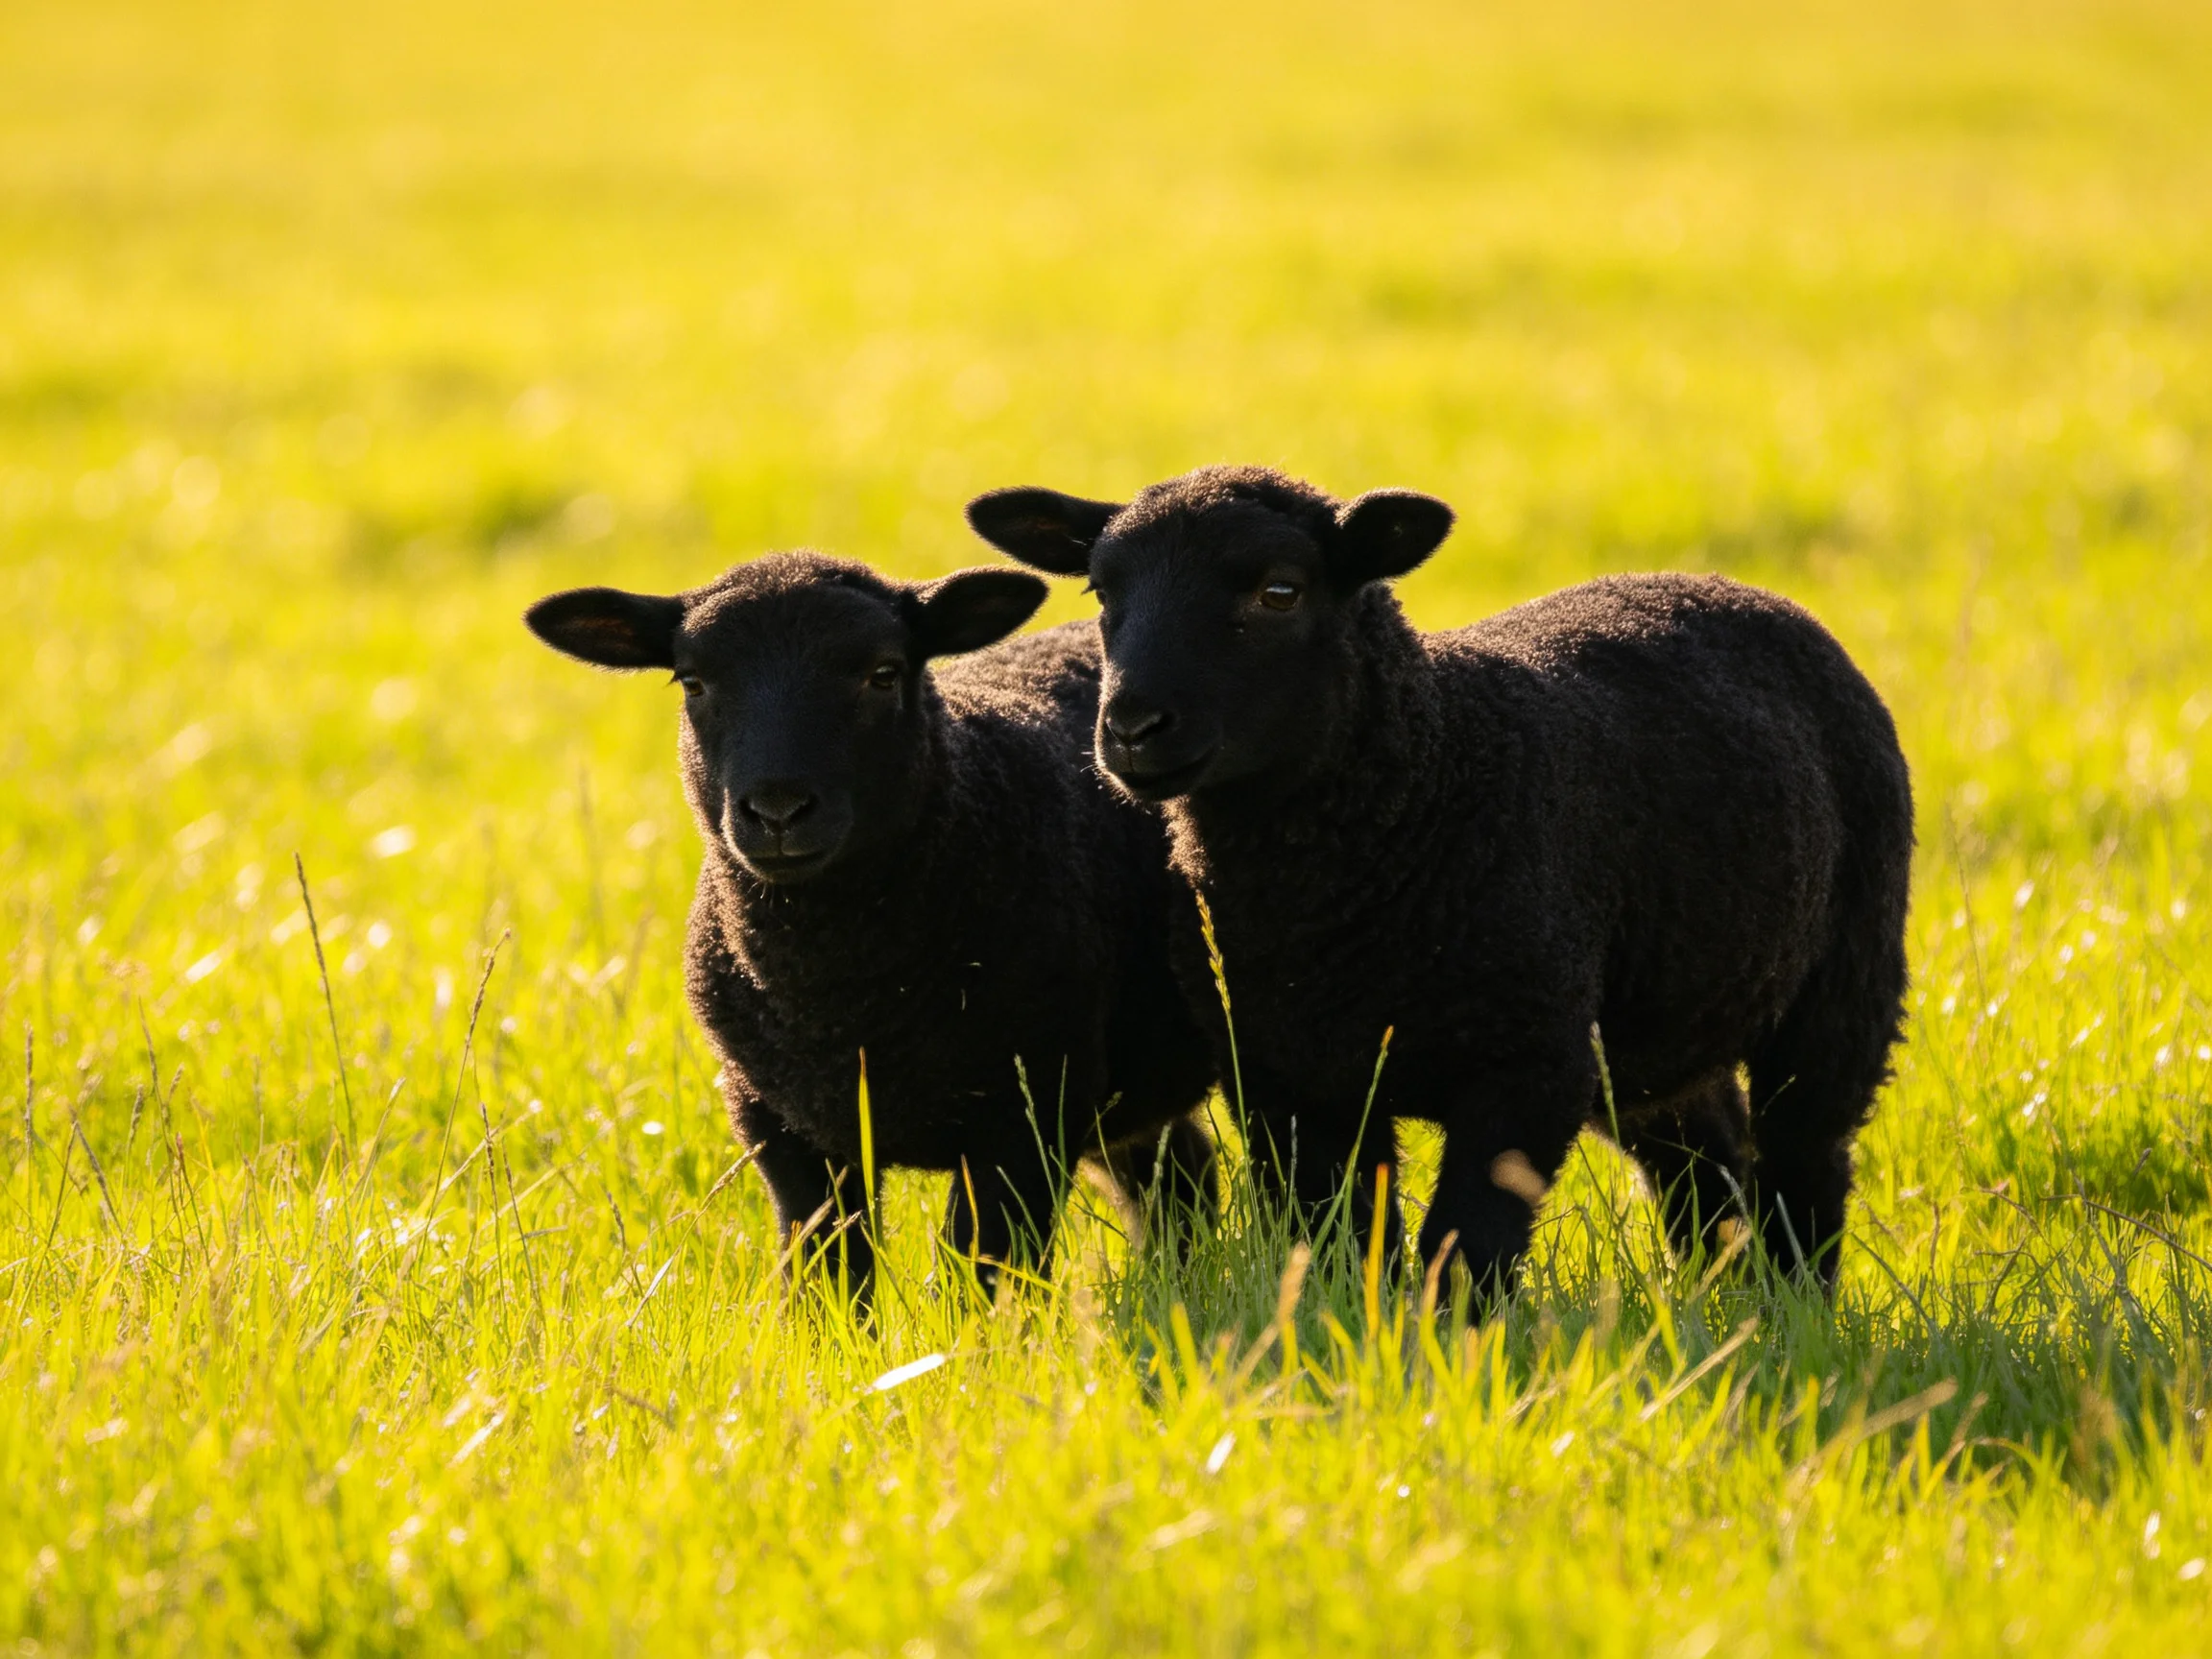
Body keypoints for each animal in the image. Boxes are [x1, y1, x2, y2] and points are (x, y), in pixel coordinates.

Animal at [525, 551, 1219, 1302]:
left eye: (882, 674)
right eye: (694, 680)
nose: (777, 810)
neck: (843, 1000)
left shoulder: (1031, 1112)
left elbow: (983, 1274)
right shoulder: (783, 1126)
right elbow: (826, 1278)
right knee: (1179, 1172)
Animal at [966, 465, 1913, 1294]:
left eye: (1279, 592)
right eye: (1100, 593)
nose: (1130, 728)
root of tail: (1724, 585)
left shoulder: (1526, 1068)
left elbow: (1465, 1250)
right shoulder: (1288, 1077)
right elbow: (1343, 1241)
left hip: (1848, 975)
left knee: (1805, 1155)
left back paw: (1796, 1303)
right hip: (1655, 1015)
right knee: (1701, 1148)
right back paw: (1730, 1296)